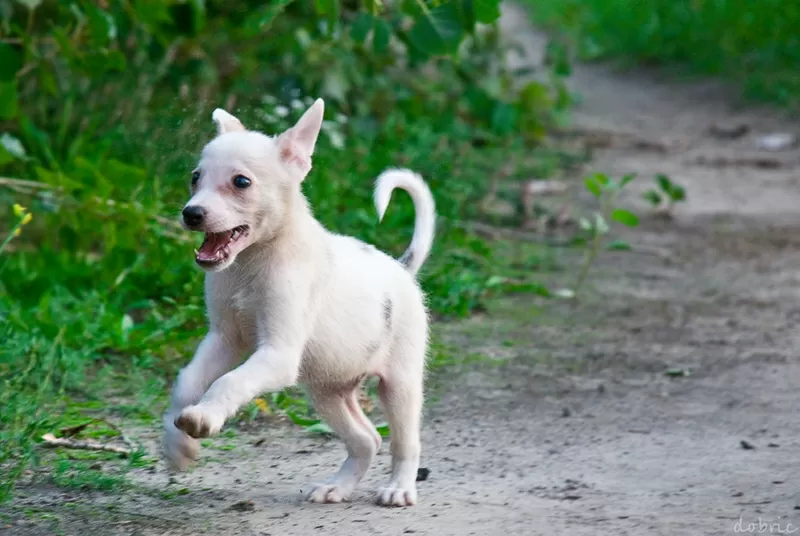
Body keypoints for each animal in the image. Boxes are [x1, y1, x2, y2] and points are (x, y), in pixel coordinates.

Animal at [163, 99, 438, 506]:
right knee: (367, 439)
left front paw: (203, 418)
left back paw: (399, 488)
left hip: (399, 384)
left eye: (241, 182)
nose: (191, 213)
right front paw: (177, 446)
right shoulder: (224, 339)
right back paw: (337, 486)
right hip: (327, 390)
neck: (252, 263)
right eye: (195, 177)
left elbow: (230, 381)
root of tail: (402, 268)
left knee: (404, 442)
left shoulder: (277, 353)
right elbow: (187, 381)